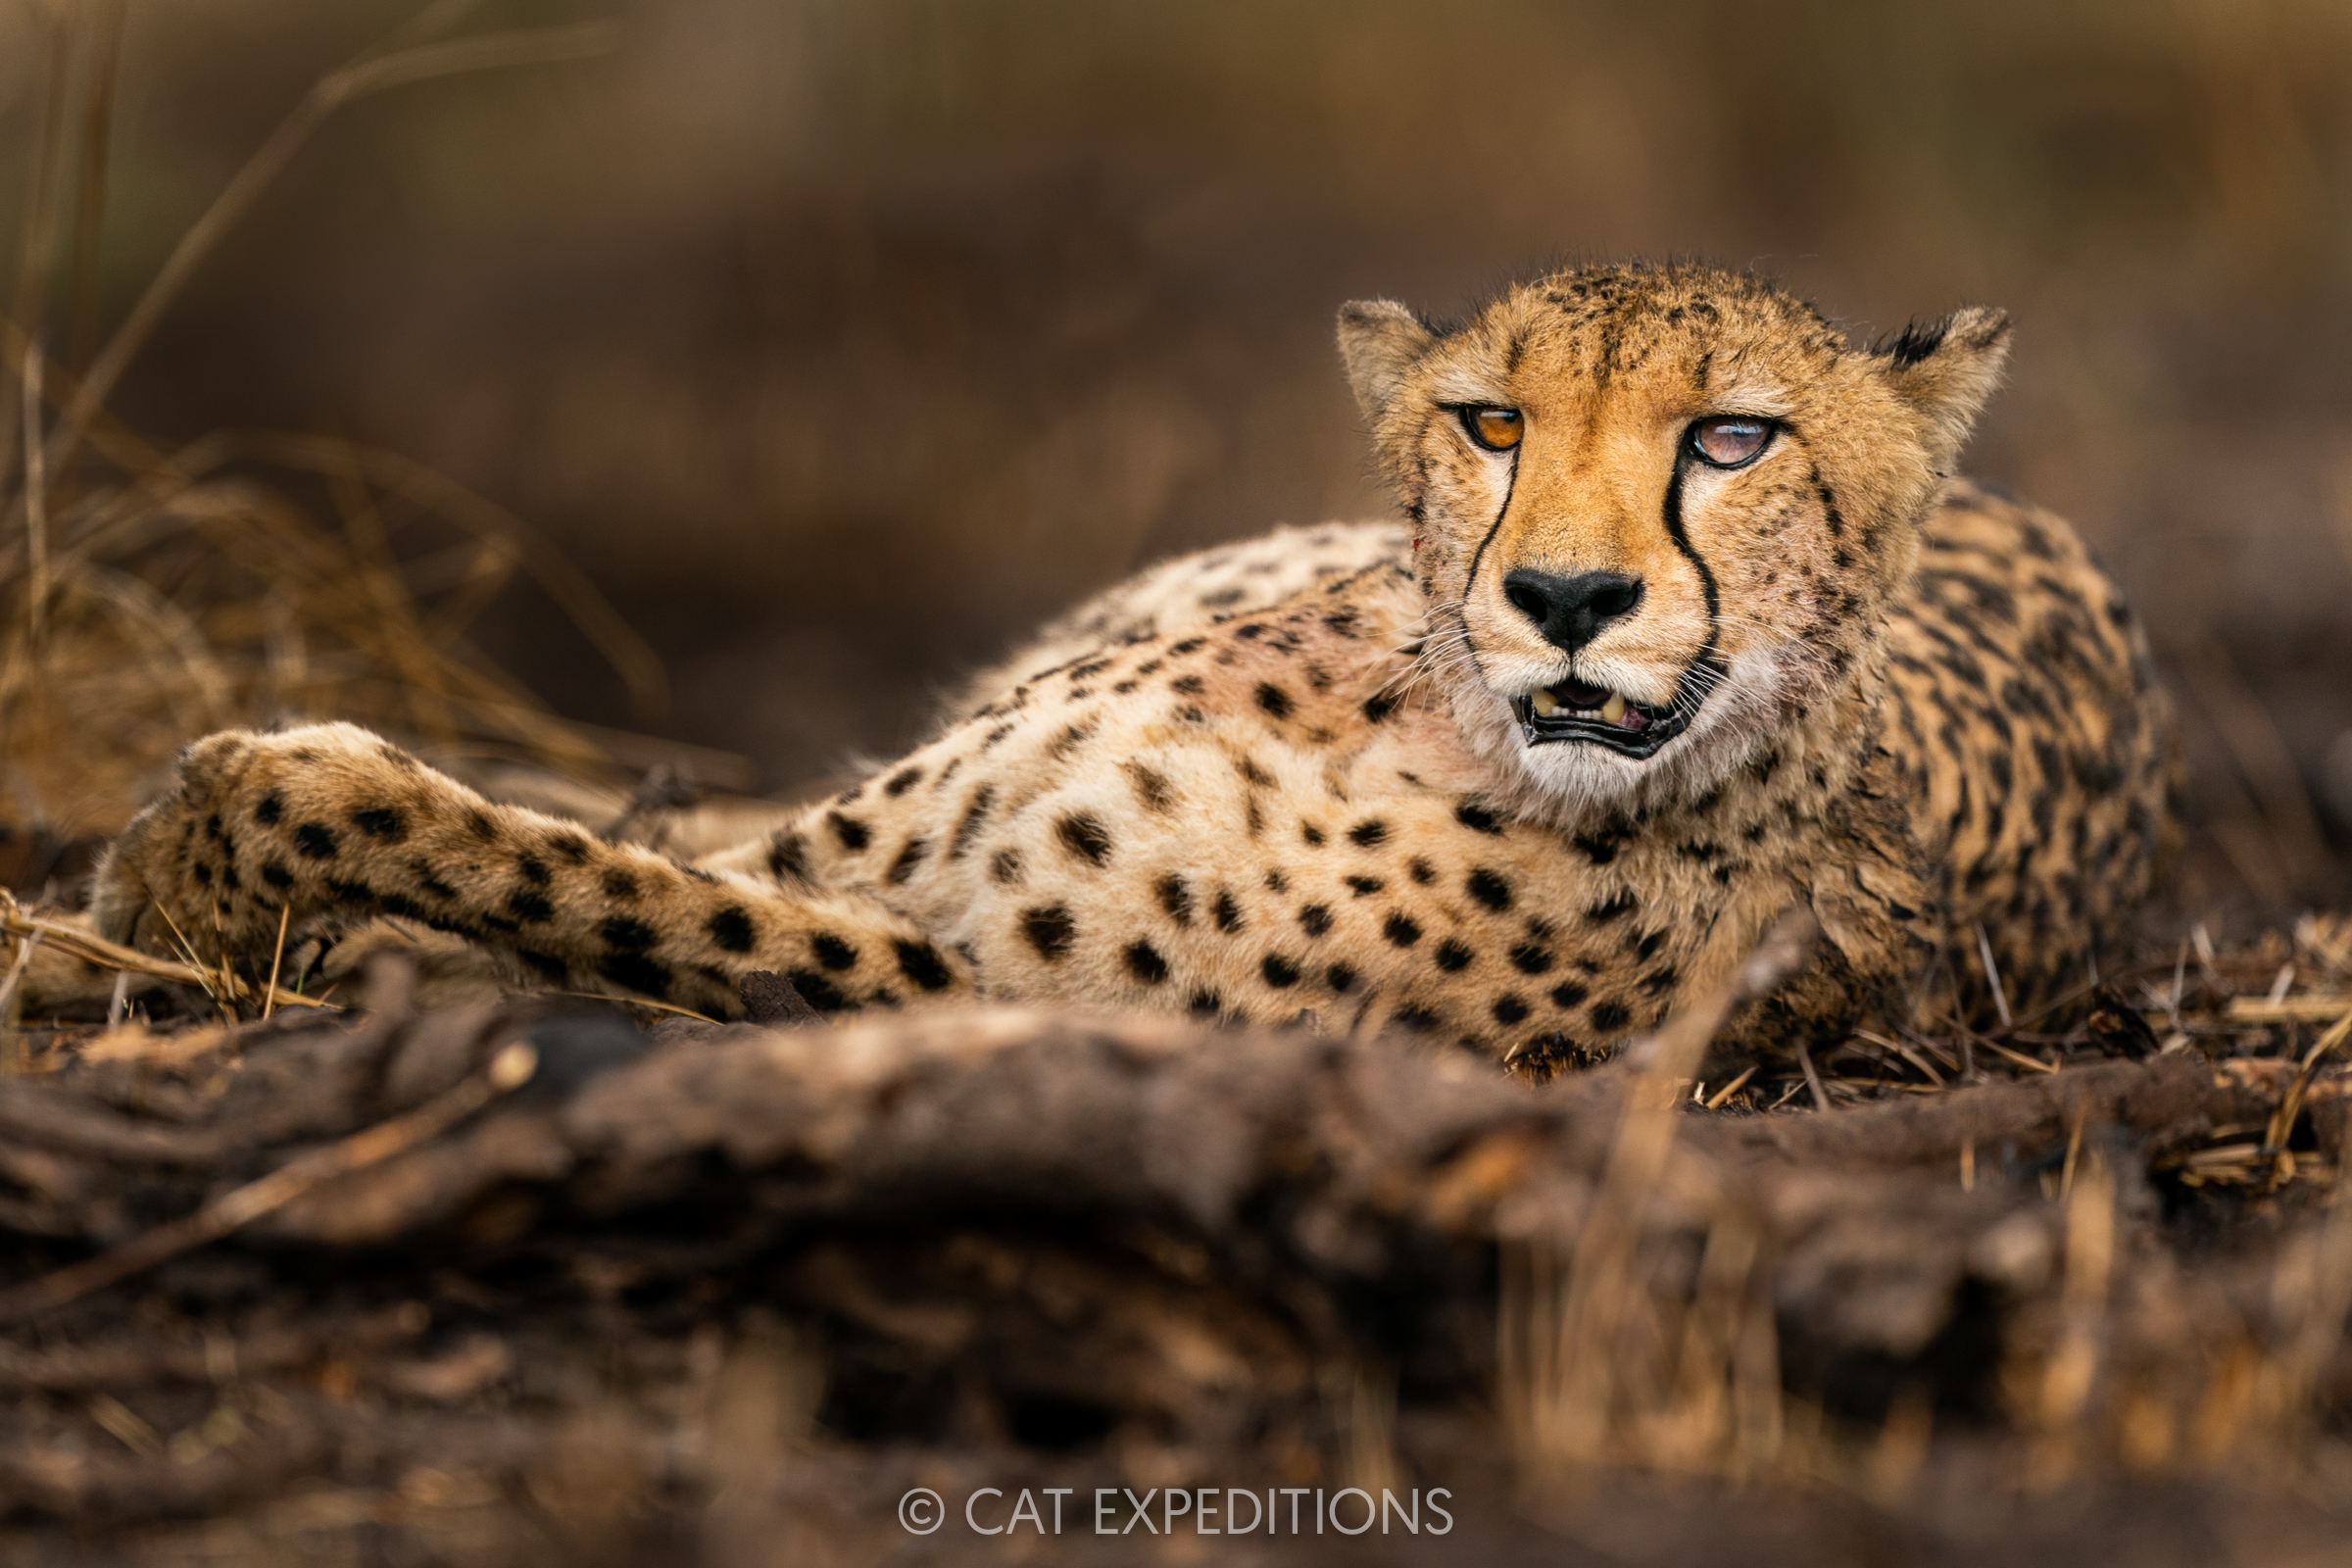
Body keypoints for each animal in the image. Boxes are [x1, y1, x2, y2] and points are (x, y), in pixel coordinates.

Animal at [49, 262, 2176, 1074]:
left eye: (1732, 442)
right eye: (1491, 422)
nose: (1567, 597)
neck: (1437, 746)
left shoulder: (958, 975)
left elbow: (565, 873)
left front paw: (216, 829)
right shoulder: (872, 844)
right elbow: (592, 841)